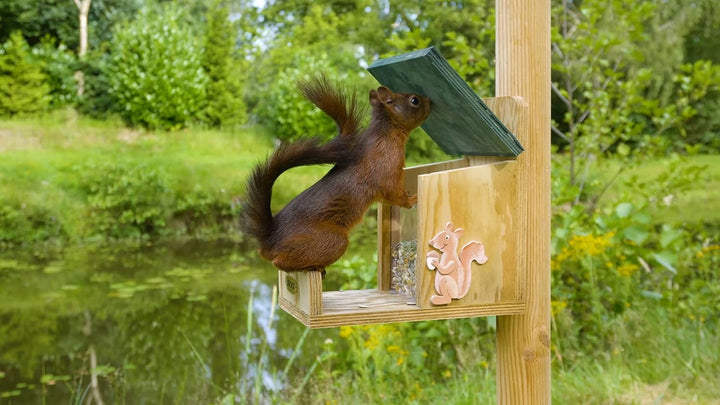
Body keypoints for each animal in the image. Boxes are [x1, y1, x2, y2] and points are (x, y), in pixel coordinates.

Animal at [242, 75, 432, 273]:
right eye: (414, 100)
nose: (430, 102)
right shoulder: (387, 170)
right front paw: (413, 199)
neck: (386, 134)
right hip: (333, 240)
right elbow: (395, 195)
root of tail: (270, 239)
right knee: (280, 262)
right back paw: (313, 267)